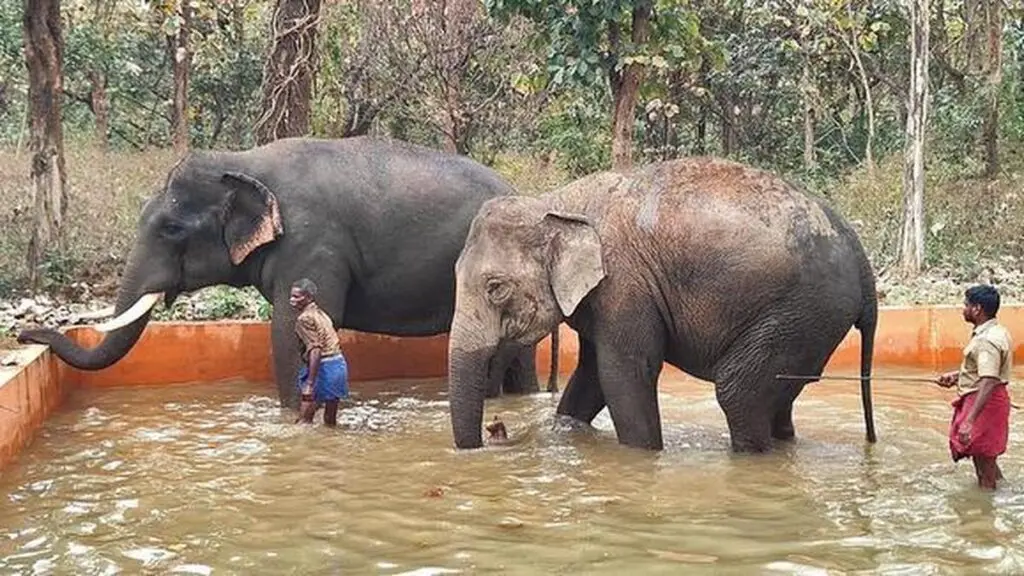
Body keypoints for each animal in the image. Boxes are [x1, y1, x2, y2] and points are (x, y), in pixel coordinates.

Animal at [446, 156, 877, 453]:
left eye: (495, 288)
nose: (496, 431)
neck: (555, 202)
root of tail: (861, 258)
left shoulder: (625, 284)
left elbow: (623, 373)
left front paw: (643, 455)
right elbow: (590, 375)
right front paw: (569, 432)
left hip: (801, 312)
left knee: (738, 394)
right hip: (810, 324)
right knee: (779, 400)